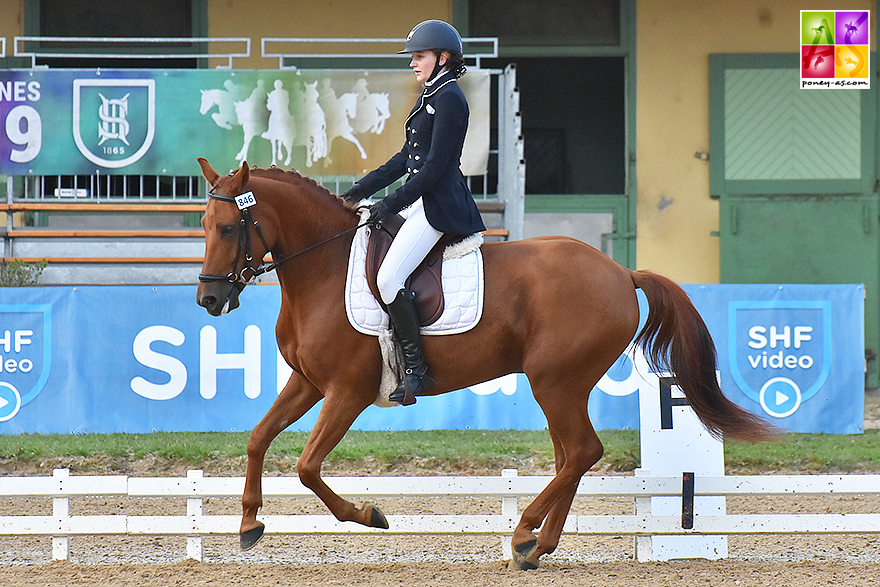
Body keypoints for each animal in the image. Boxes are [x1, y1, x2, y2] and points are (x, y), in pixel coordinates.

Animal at [194, 158, 768, 572]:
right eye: (202, 224)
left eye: (229, 228)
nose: (208, 300)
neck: (323, 269)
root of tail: (621, 272)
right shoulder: (309, 383)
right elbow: (258, 438)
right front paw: (248, 524)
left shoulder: (347, 392)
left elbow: (308, 466)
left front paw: (368, 515)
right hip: (560, 385)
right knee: (571, 456)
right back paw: (536, 546)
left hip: (555, 382)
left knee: (582, 450)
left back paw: (526, 533)